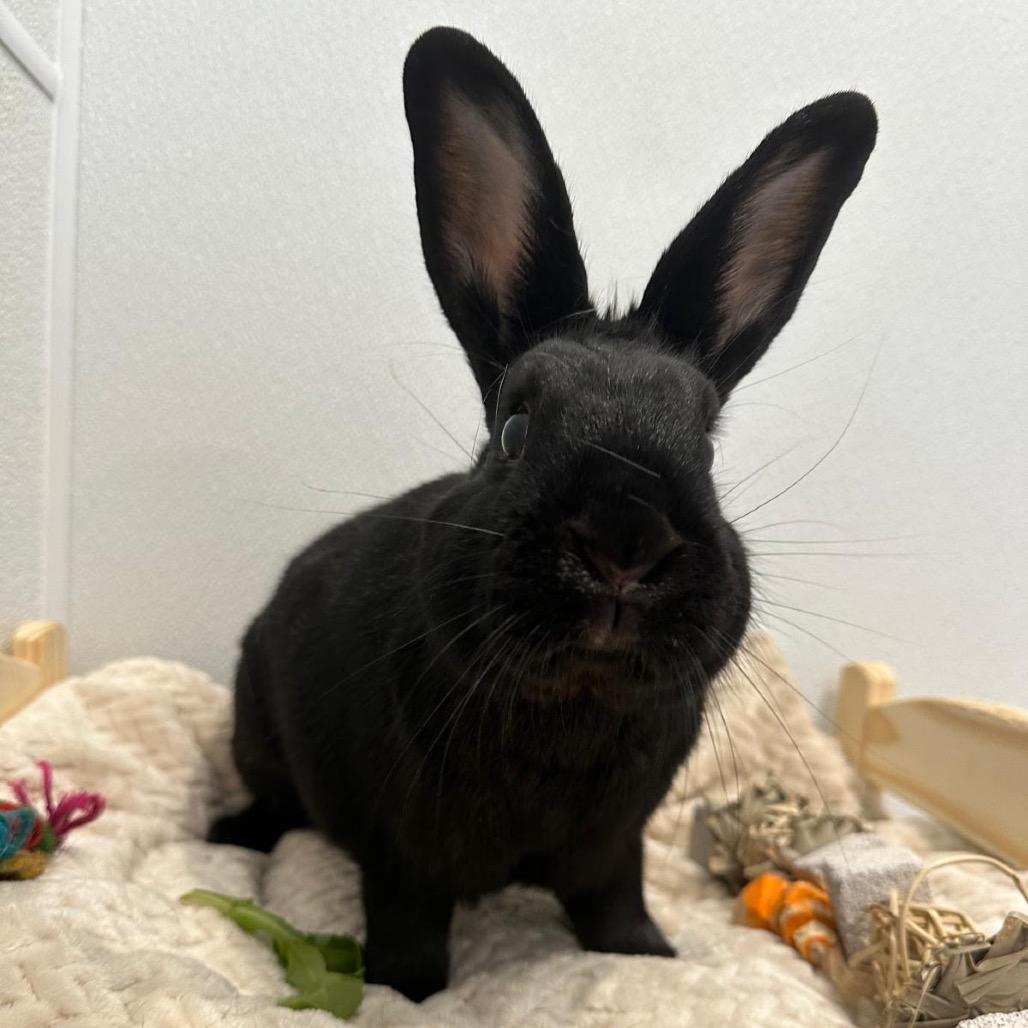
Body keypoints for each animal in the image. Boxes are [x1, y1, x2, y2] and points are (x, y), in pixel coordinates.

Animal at [208, 26, 876, 1002]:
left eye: (707, 448)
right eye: (515, 429)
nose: (628, 539)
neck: (574, 708)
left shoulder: (615, 844)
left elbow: (615, 903)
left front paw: (649, 957)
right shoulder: (404, 857)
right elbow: (411, 933)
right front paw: (406, 993)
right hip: (258, 731)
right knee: (271, 802)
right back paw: (229, 833)